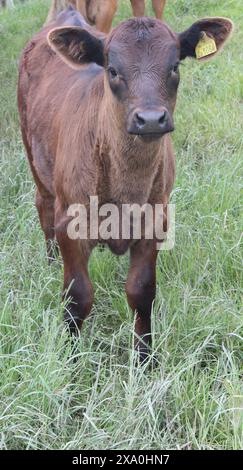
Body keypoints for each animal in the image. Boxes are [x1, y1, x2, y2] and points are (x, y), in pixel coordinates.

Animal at [18, 8, 233, 360]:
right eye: (113, 70)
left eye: (175, 66)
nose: (150, 119)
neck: (125, 188)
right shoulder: (70, 223)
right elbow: (78, 296)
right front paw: (72, 358)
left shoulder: (155, 221)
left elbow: (141, 293)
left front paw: (145, 358)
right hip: (34, 156)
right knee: (42, 204)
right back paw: (49, 262)